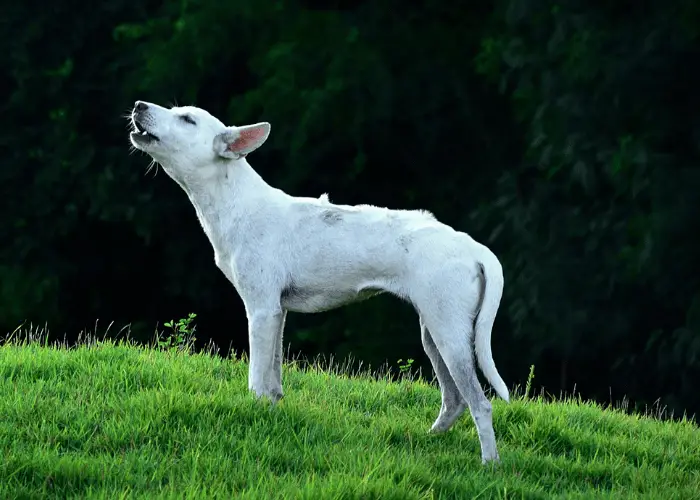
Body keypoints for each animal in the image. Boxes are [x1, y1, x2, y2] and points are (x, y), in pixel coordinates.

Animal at [127, 101, 508, 464]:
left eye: (187, 120)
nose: (138, 106)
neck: (237, 202)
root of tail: (475, 249)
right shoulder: (278, 313)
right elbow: (273, 377)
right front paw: (270, 411)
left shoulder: (261, 310)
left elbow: (255, 377)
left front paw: (253, 412)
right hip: (433, 335)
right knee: (455, 400)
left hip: (450, 336)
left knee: (480, 403)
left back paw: (489, 464)